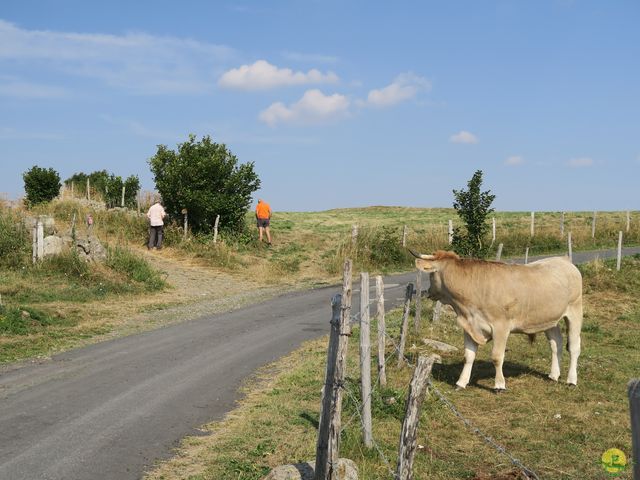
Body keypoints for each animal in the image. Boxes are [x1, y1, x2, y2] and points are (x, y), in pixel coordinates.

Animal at [410, 251, 584, 390]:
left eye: (431, 275)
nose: (428, 291)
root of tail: (563, 259)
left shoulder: (501, 327)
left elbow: (496, 356)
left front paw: (499, 385)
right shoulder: (470, 326)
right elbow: (468, 356)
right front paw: (461, 382)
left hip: (575, 311)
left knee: (574, 347)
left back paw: (571, 380)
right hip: (549, 319)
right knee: (556, 343)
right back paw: (554, 375)